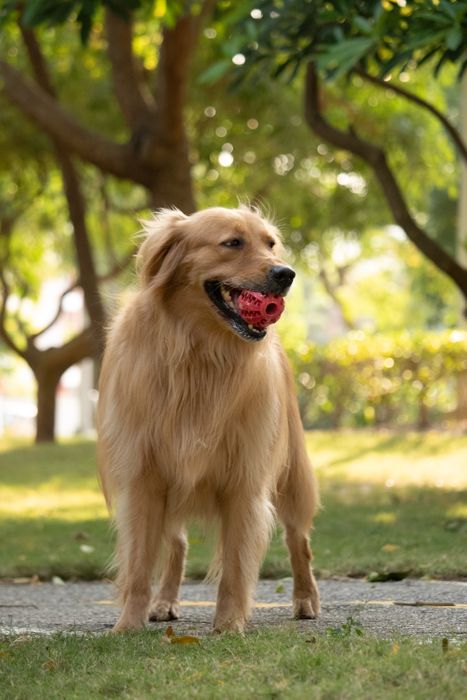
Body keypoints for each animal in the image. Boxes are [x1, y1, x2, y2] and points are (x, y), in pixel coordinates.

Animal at [97, 205, 320, 632]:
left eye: (270, 243)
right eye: (232, 242)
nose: (286, 273)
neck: (199, 352)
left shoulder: (245, 477)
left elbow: (234, 566)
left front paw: (229, 626)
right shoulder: (144, 474)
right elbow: (138, 565)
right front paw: (128, 625)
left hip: (292, 471)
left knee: (298, 538)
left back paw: (306, 598)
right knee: (176, 544)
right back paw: (165, 601)